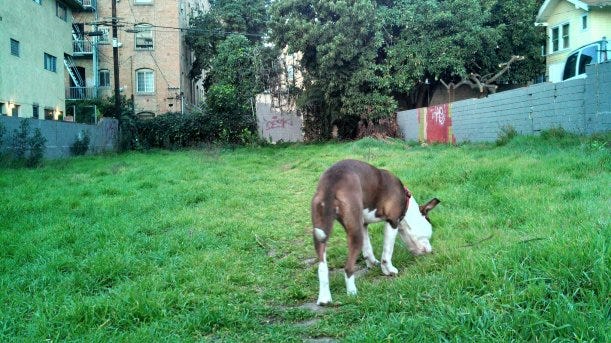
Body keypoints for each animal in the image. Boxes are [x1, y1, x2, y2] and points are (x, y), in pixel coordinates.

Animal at [310, 160, 440, 306]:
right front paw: (389, 270)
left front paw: (373, 264)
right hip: (355, 232)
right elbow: (387, 252)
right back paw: (352, 293)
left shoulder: (363, 224)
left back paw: (324, 299)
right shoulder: (392, 222)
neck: (406, 203)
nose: (431, 250)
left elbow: (368, 249)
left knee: (322, 267)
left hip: (321, 230)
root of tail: (331, 182)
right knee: (348, 267)